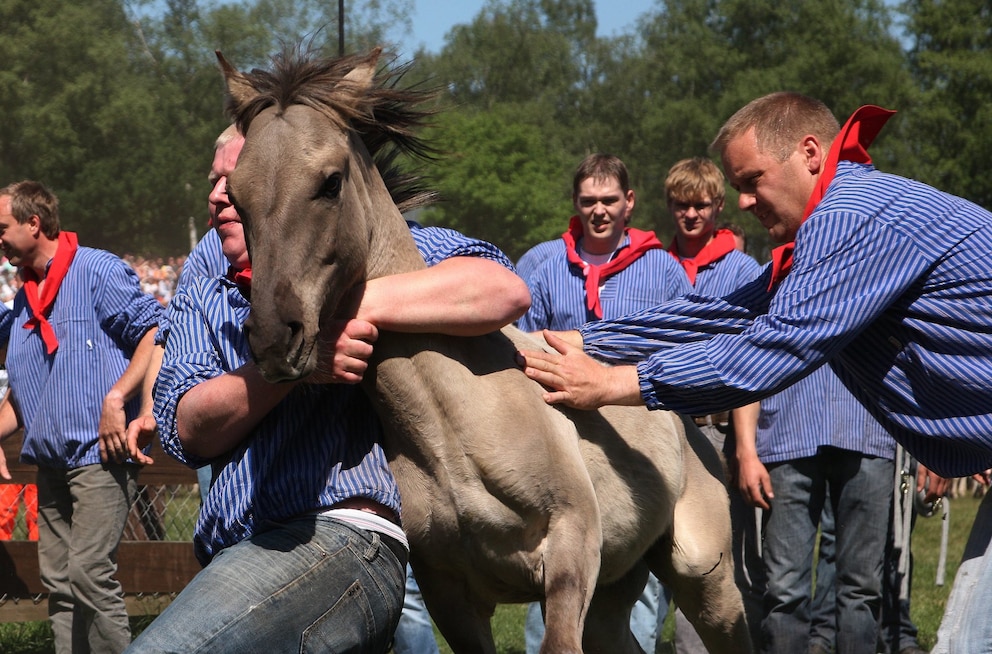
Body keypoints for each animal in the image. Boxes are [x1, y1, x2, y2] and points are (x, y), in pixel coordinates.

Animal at [215, 47, 744, 654]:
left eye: (330, 182)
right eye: (236, 196)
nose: (274, 337)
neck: (452, 425)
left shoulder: (571, 555)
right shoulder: (452, 595)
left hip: (705, 579)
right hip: (616, 592)